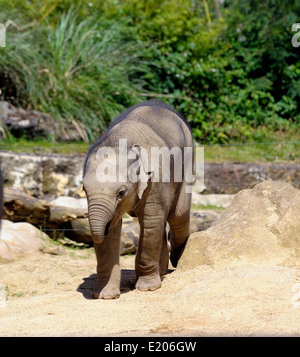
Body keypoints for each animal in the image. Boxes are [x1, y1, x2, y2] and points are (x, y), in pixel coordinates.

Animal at [82, 100, 195, 298]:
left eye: (121, 193)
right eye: (83, 189)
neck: (121, 141)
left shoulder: (156, 179)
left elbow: (151, 220)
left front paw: (148, 288)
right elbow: (114, 229)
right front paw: (105, 296)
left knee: (177, 216)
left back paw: (176, 261)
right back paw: (162, 271)